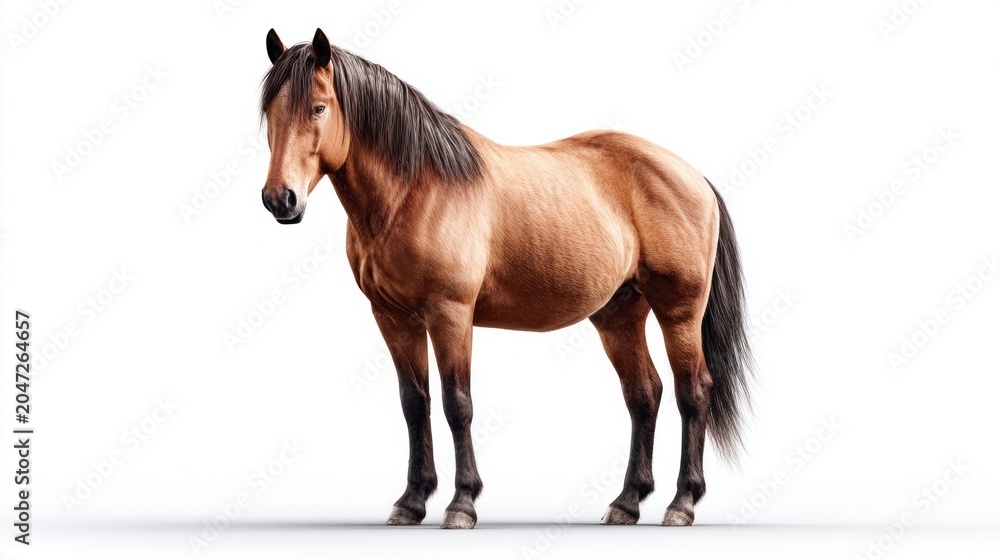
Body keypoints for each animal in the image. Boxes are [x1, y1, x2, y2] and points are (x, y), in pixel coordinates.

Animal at [258, 28, 753, 529]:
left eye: (319, 108)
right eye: (269, 111)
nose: (281, 199)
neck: (415, 189)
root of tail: (693, 175)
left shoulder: (450, 314)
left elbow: (457, 403)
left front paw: (462, 503)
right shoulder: (393, 318)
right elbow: (414, 403)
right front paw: (412, 501)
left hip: (679, 312)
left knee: (693, 392)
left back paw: (682, 503)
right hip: (619, 314)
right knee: (644, 394)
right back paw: (626, 502)